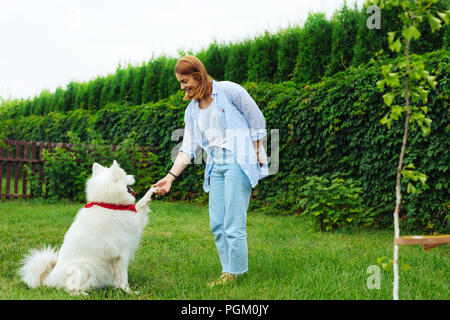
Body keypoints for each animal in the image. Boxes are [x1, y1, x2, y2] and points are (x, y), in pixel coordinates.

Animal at [19, 161, 156, 294]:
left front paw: (151, 191)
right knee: (71, 289)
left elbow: (140, 204)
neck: (109, 205)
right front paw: (128, 291)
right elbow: (123, 278)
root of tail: (48, 280)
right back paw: (83, 294)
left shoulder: (136, 224)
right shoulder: (122, 254)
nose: (134, 176)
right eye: (124, 174)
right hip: (84, 267)